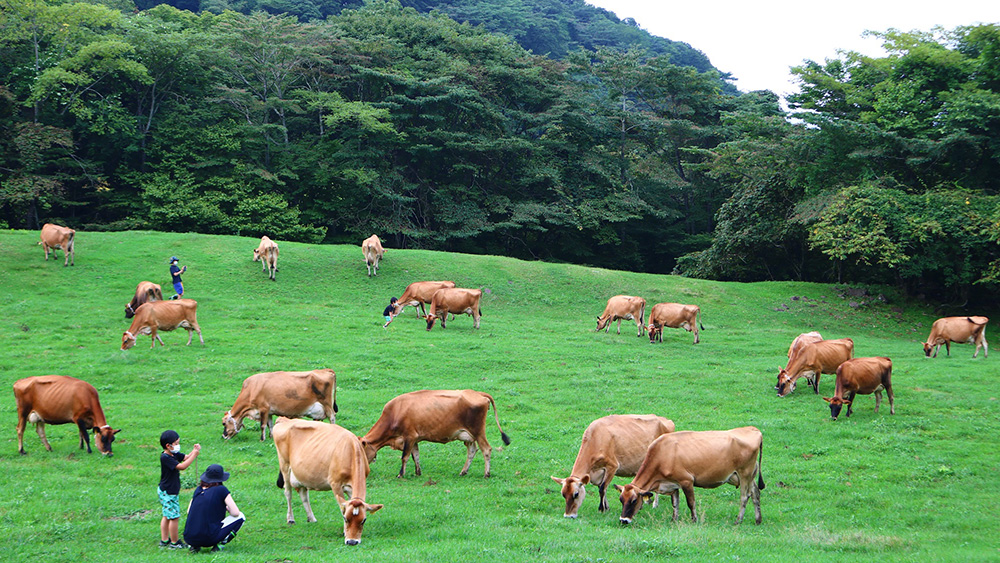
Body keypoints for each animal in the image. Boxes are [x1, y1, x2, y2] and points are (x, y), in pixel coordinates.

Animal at [274, 418, 382, 548]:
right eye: (345, 519)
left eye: (363, 520)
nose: (352, 541)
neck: (351, 450)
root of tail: (284, 419)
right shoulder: (335, 484)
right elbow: (341, 507)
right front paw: (344, 532)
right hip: (285, 466)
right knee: (288, 493)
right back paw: (290, 519)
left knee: (304, 495)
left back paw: (311, 518)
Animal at [362, 390, 512, 478]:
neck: (395, 412)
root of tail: (478, 393)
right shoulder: (414, 439)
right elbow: (415, 455)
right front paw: (418, 472)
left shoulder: (409, 436)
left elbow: (404, 457)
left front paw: (401, 474)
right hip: (469, 436)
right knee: (472, 451)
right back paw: (463, 471)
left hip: (478, 431)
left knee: (486, 449)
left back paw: (486, 473)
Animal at [608, 430, 764, 528]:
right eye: (621, 500)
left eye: (634, 501)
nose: (623, 520)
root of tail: (753, 429)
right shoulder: (673, 484)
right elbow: (675, 503)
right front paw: (674, 519)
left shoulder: (686, 481)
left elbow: (691, 503)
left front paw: (694, 520)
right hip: (748, 476)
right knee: (755, 494)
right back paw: (758, 520)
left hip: (744, 473)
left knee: (745, 497)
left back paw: (738, 520)